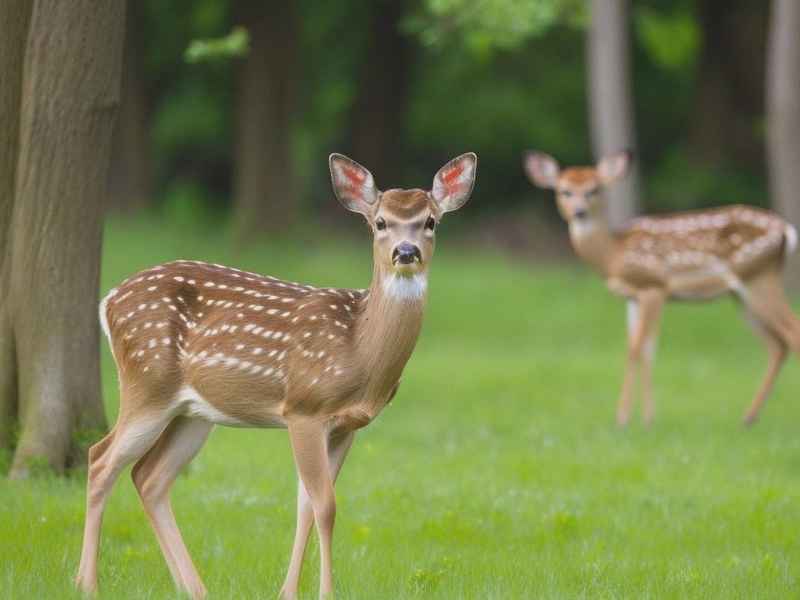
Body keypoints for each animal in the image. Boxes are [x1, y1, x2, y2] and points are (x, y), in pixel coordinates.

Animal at [75, 152, 477, 599]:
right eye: (380, 222)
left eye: (430, 221)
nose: (406, 252)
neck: (359, 348)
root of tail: (107, 301)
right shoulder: (304, 408)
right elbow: (325, 505)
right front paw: (325, 592)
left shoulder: (347, 425)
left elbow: (308, 504)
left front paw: (289, 591)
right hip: (147, 383)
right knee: (100, 459)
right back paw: (87, 583)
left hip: (193, 411)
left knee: (149, 476)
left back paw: (193, 587)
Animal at [524, 150, 800, 427]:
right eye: (564, 191)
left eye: (595, 189)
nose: (579, 212)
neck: (614, 256)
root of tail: (786, 230)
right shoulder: (632, 297)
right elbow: (639, 348)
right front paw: (643, 417)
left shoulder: (654, 287)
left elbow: (640, 348)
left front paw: (627, 419)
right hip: (742, 294)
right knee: (777, 346)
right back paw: (748, 417)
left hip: (758, 277)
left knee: (792, 332)